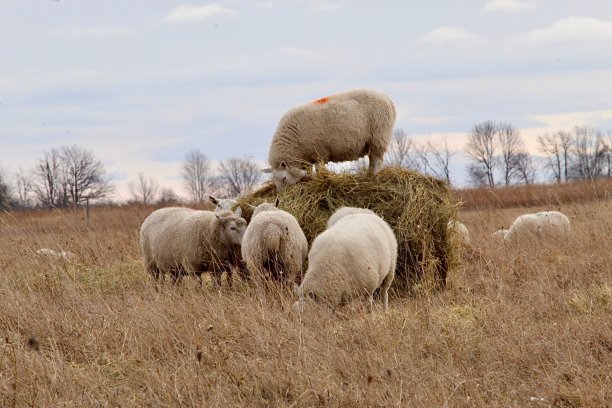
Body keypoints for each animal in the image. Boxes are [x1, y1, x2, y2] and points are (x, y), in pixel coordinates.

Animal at [262, 88, 396, 190]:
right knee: (372, 160)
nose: (283, 196)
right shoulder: (306, 158)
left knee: (377, 160)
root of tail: (386, 98)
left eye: (284, 178)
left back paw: (373, 177)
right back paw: (368, 176)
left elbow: (319, 170)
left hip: (378, 136)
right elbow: (309, 172)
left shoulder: (319, 152)